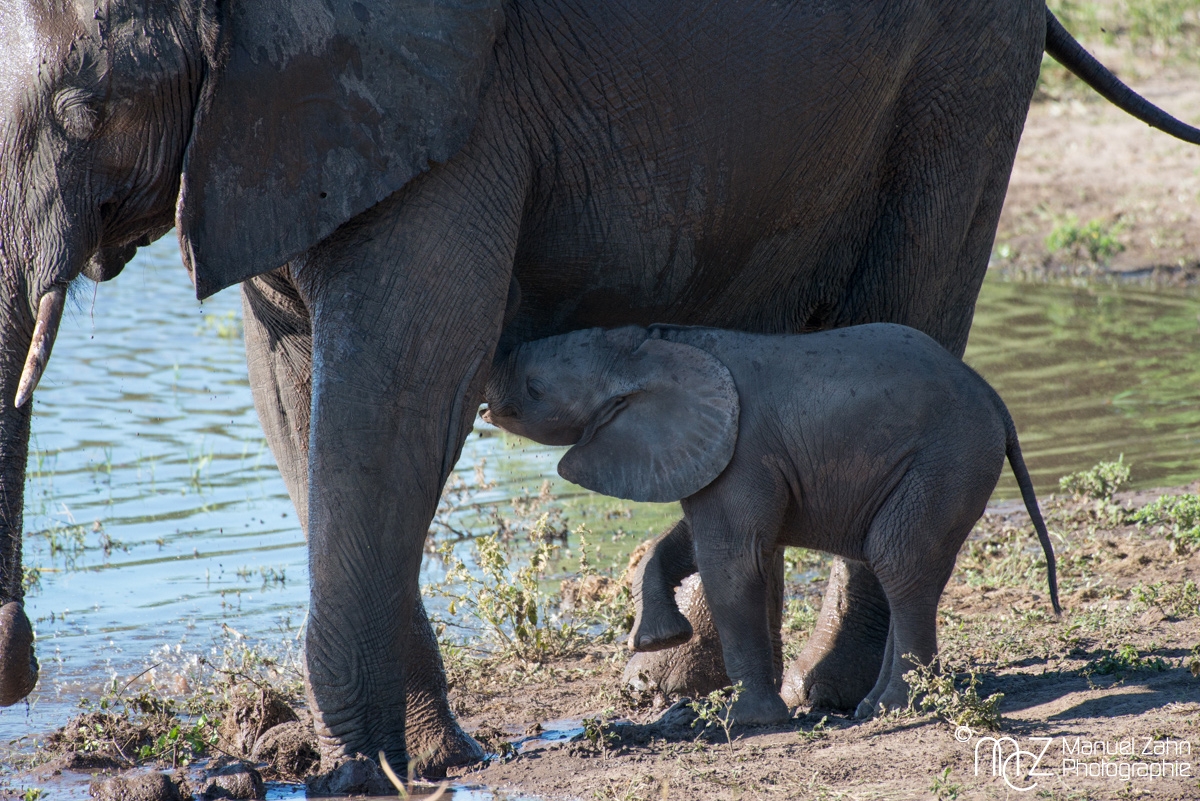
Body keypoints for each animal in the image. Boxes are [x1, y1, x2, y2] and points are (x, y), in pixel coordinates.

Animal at [482, 323, 1062, 722]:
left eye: (535, 388)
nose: (485, 405)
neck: (650, 343)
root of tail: (994, 400)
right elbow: (691, 542)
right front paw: (658, 639)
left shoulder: (741, 450)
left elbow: (731, 562)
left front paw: (746, 722)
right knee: (902, 567)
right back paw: (869, 707)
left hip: (946, 461)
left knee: (899, 560)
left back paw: (892, 710)